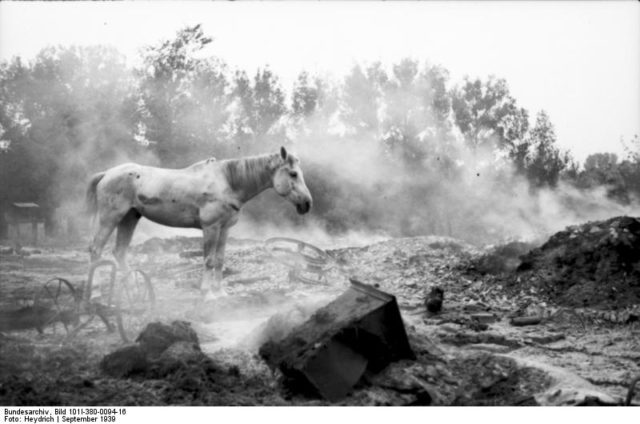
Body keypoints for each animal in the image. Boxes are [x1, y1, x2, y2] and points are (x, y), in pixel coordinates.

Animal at [87, 147, 312, 296]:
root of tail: (107, 174)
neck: (228, 183)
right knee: (96, 250)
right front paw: (207, 292)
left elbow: (220, 260)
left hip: (129, 218)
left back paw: (132, 289)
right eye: (293, 173)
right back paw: (94, 290)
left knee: (120, 252)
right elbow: (209, 260)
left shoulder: (224, 229)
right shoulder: (210, 228)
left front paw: (220, 293)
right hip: (110, 217)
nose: (307, 204)